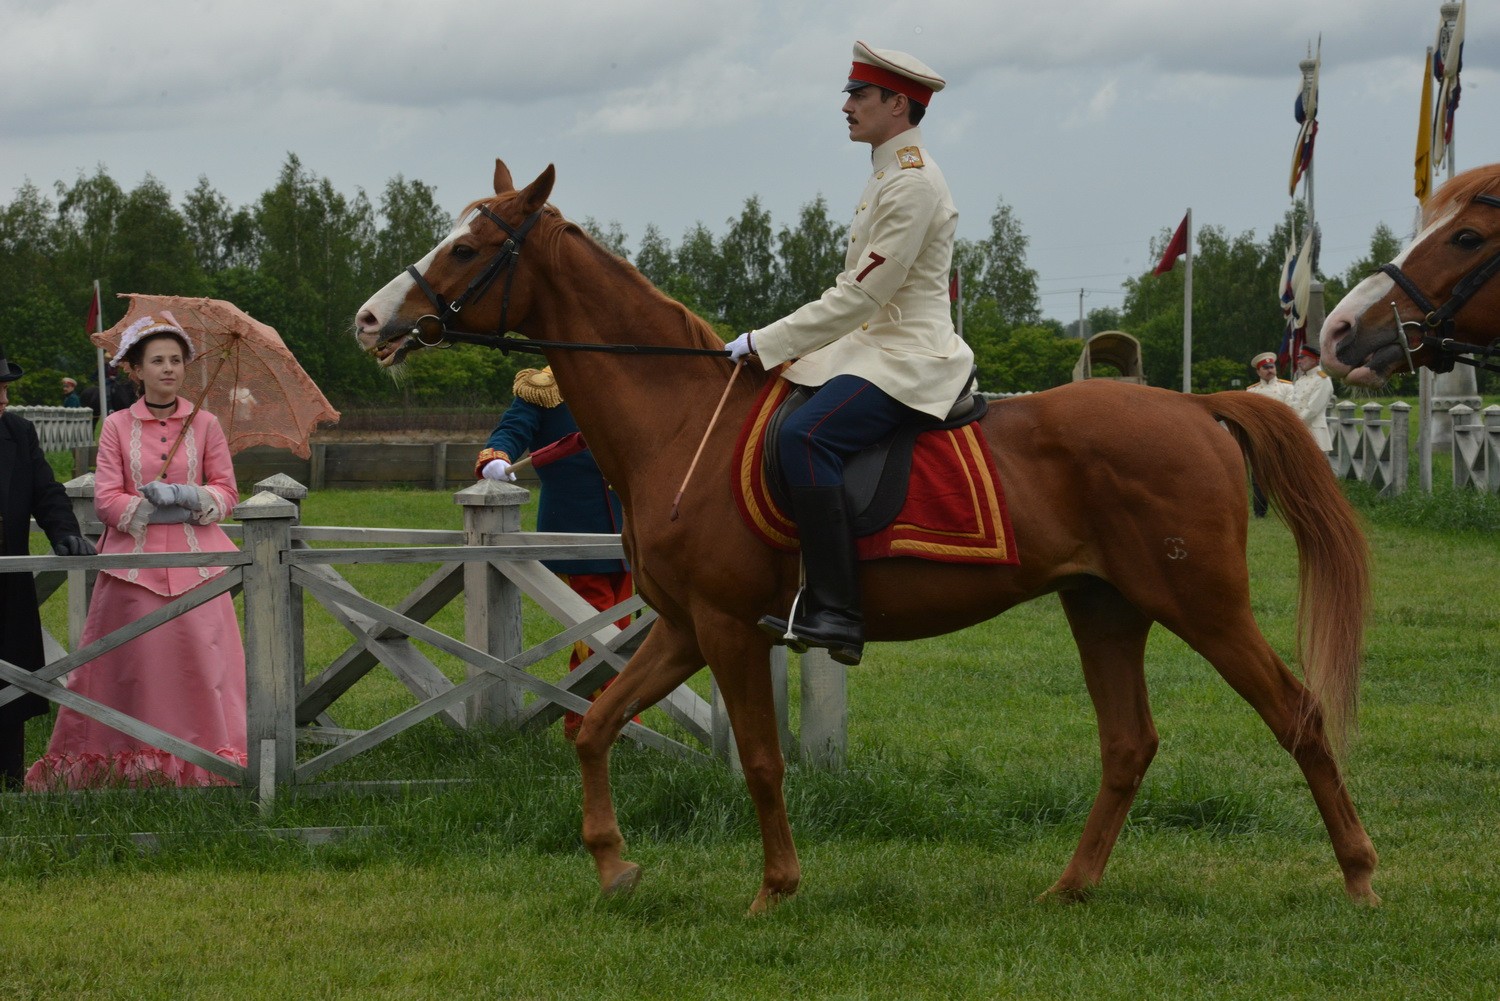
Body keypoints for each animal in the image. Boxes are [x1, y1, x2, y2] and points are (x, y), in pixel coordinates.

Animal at [354, 160, 1380, 912]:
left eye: (468, 246)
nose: (370, 318)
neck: (681, 418)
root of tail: (1196, 408)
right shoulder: (683, 626)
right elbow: (595, 726)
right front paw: (615, 865)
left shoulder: (725, 627)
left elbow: (760, 760)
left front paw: (775, 889)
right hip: (1106, 608)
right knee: (1129, 744)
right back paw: (1071, 886)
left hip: (1201, 602)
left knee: (1298, 713)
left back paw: (1360, 874)